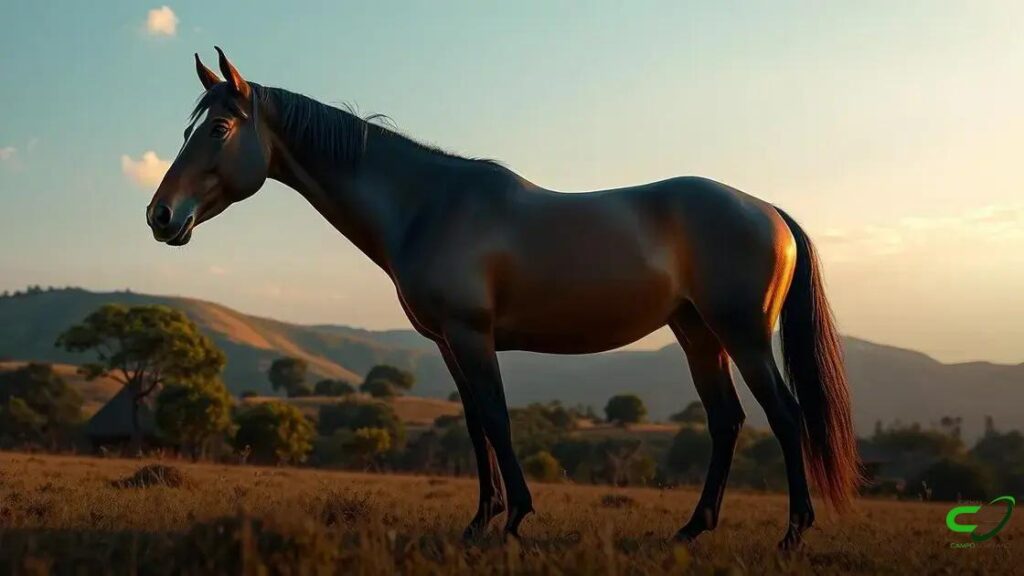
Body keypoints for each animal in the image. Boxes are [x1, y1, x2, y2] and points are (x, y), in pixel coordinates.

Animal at [147, 48, 859, 549]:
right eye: (188, 128)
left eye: (219, 127)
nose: (160, 216)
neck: (427, 205)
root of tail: (768, 211)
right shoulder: (448, 343)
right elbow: (474, 425)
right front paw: (480, 520)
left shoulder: (472, 335)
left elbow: (496, 417)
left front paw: (514, 518)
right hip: (697, 333)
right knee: (726, 421)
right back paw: (692, 529)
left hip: (742, 334)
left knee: (786, 417)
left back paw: (793, 534)